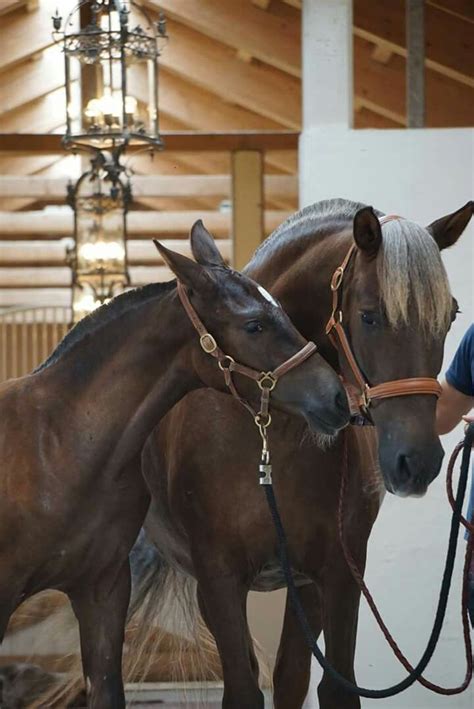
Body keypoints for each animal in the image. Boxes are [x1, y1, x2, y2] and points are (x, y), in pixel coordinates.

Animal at [128, 199, 472, 708]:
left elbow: (331, 685)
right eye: (369, 316)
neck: (270, 439)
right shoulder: (220, 578)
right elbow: (244, 689)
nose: (418, 463)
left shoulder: (338, 574)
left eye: (449, 316)